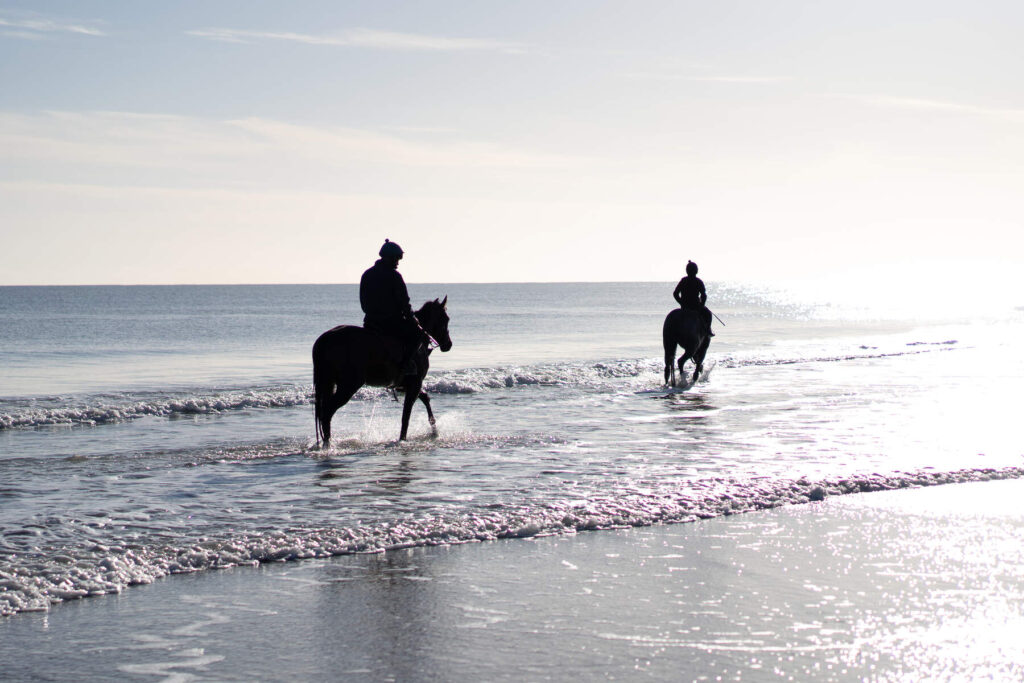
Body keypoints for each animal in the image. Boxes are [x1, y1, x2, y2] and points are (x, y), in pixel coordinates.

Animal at [312, 297, 453, 447]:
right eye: (445, 319)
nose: (448, 344)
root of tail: (325, 340)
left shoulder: (410, 385)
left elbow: (425, 398)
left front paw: (434, 430)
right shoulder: (415, 384)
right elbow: (406, 416)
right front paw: (402, 439)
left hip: (329, 382)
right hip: (348, 386)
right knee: (327, 412)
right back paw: (328, 444)